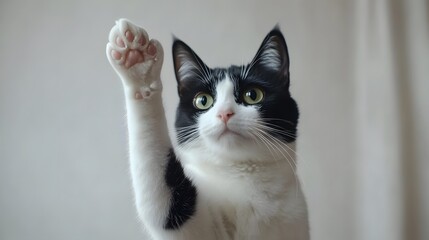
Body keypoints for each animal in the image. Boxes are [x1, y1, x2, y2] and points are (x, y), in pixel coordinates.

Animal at [105, 17, 310, 239]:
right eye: (203, 101)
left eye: (253, 95)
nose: (225, 113)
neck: (244, 176)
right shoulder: (194, 222)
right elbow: (163, 204)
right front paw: (137, 63)